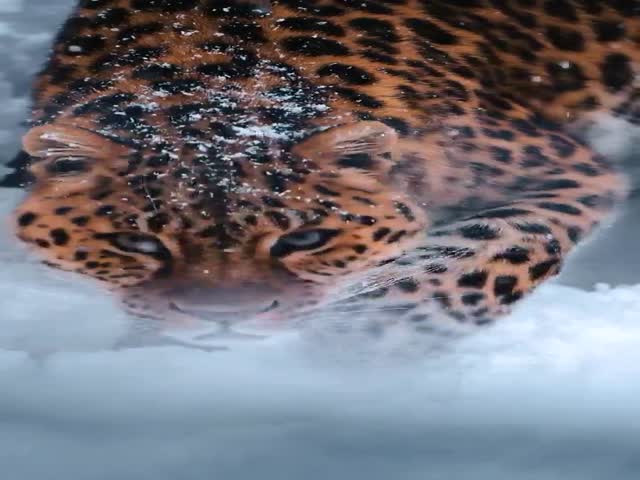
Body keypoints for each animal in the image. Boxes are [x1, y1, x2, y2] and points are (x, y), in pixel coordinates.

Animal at [3, 0, 640, 339]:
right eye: (137, 245)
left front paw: (359, 346)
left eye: (306, 240)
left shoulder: (568, 169)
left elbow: (476, 258)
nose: (223, 321)